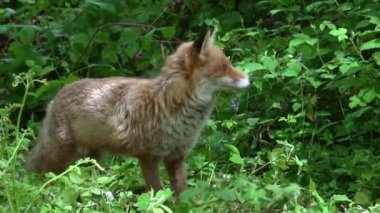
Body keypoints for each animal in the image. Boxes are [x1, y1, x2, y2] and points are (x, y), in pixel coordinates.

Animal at [26, 30, 249, 196]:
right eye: (224, 67)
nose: (251, 79)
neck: (168, 104)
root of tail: (58, 94)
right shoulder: (148, 156)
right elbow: (157, 193)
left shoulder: (176, 156)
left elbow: (181, 192)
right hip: (63, 156)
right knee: (44, 177)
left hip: (92, 160)